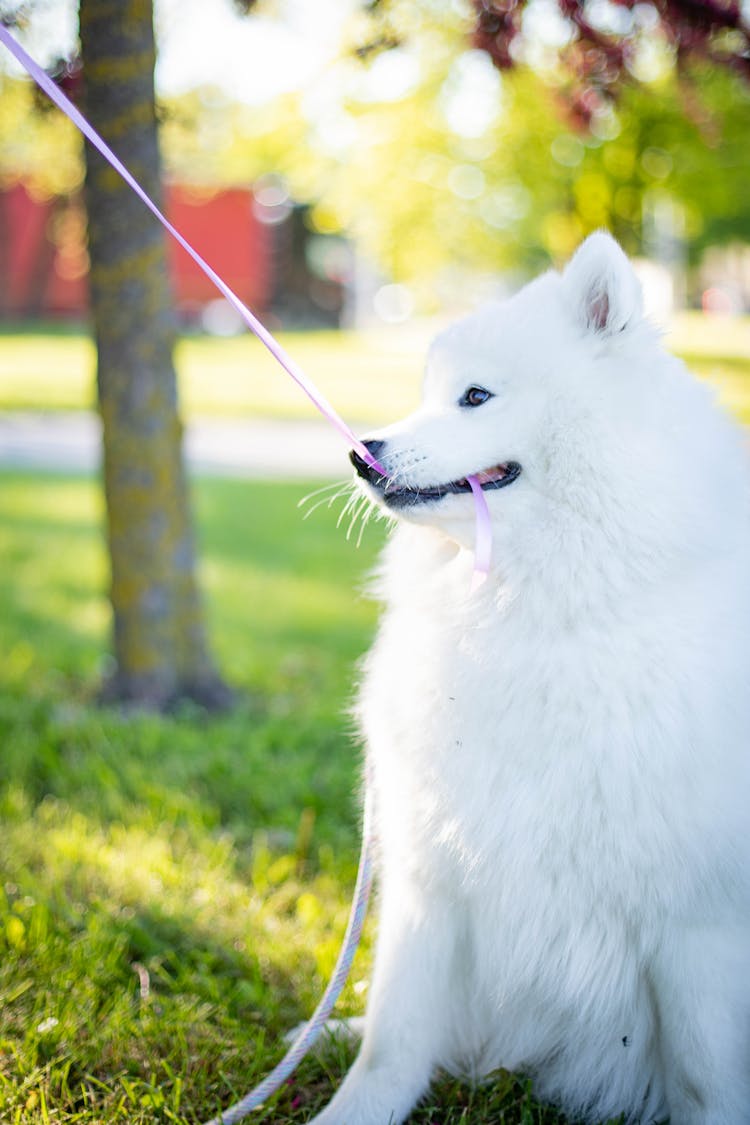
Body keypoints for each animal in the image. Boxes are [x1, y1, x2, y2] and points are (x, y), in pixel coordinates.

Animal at [310, 232, 750, 1120]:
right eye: (429, 393)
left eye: (476, 396)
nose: (361, 452)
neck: (532, 608)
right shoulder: (430, 875)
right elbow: (391, 1041)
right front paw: (350, 1109)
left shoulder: (698, 918)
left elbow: (702, 1073)